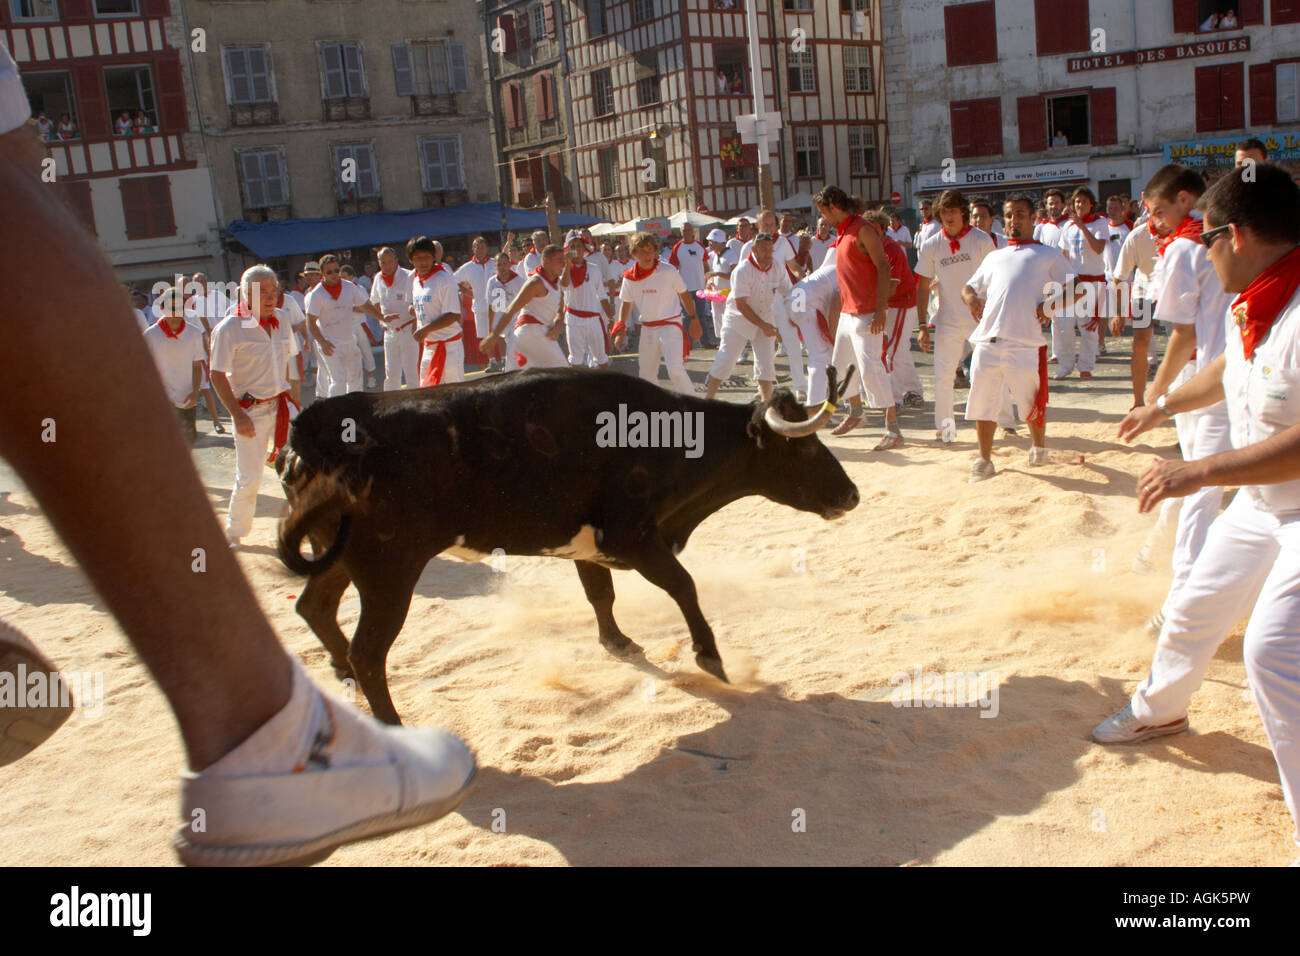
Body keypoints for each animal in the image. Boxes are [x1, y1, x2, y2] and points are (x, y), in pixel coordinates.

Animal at [275, 369, 857, 723]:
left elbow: (600, 594)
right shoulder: (633, 537)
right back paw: (391, 721)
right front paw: (710, 657)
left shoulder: (588, 548)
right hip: (389, 568)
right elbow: (683, 587)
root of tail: (314, 427)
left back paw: (343, 678)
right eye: (805, 448)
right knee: (369, 650)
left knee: (315, 606)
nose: (851, 495)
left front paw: (619, 643)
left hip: (340, 555)